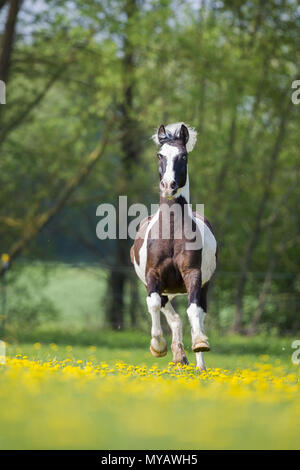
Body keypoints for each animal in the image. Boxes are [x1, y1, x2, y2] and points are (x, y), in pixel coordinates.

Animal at [130, 122, 217, 370]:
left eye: (183, 156)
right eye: (160, 155)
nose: (169, 186)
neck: (170, 233)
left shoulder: (193, 274)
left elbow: (193, 310)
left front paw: (200, 343)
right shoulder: (153, 276)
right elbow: (153, 304)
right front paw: (158, 346)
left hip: (201, 286)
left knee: (197, 313)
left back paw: (198, 363)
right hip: (166, 289)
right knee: (172, 316)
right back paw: (179, 356)